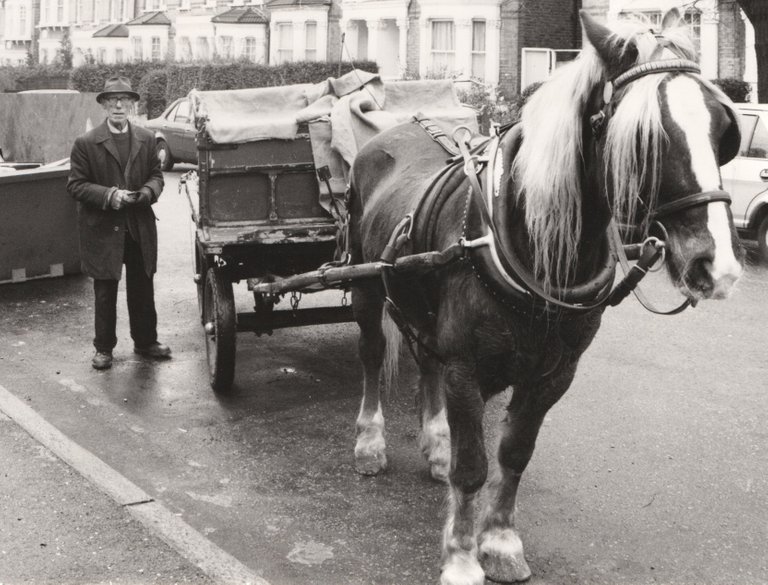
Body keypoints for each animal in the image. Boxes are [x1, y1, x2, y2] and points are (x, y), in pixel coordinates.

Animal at [344, 9, 740, 584]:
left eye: (721, 128)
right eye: (643, 136)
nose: (719, 266)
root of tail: (394, 129)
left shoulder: (554, 373)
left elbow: (513, 454)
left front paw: (500, 541)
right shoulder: (466, 366)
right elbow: (473, 467)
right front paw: (461, 556)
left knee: (426, 362)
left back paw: (436, 444)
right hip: (366, 287)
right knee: (373, 356)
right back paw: (370, 441)